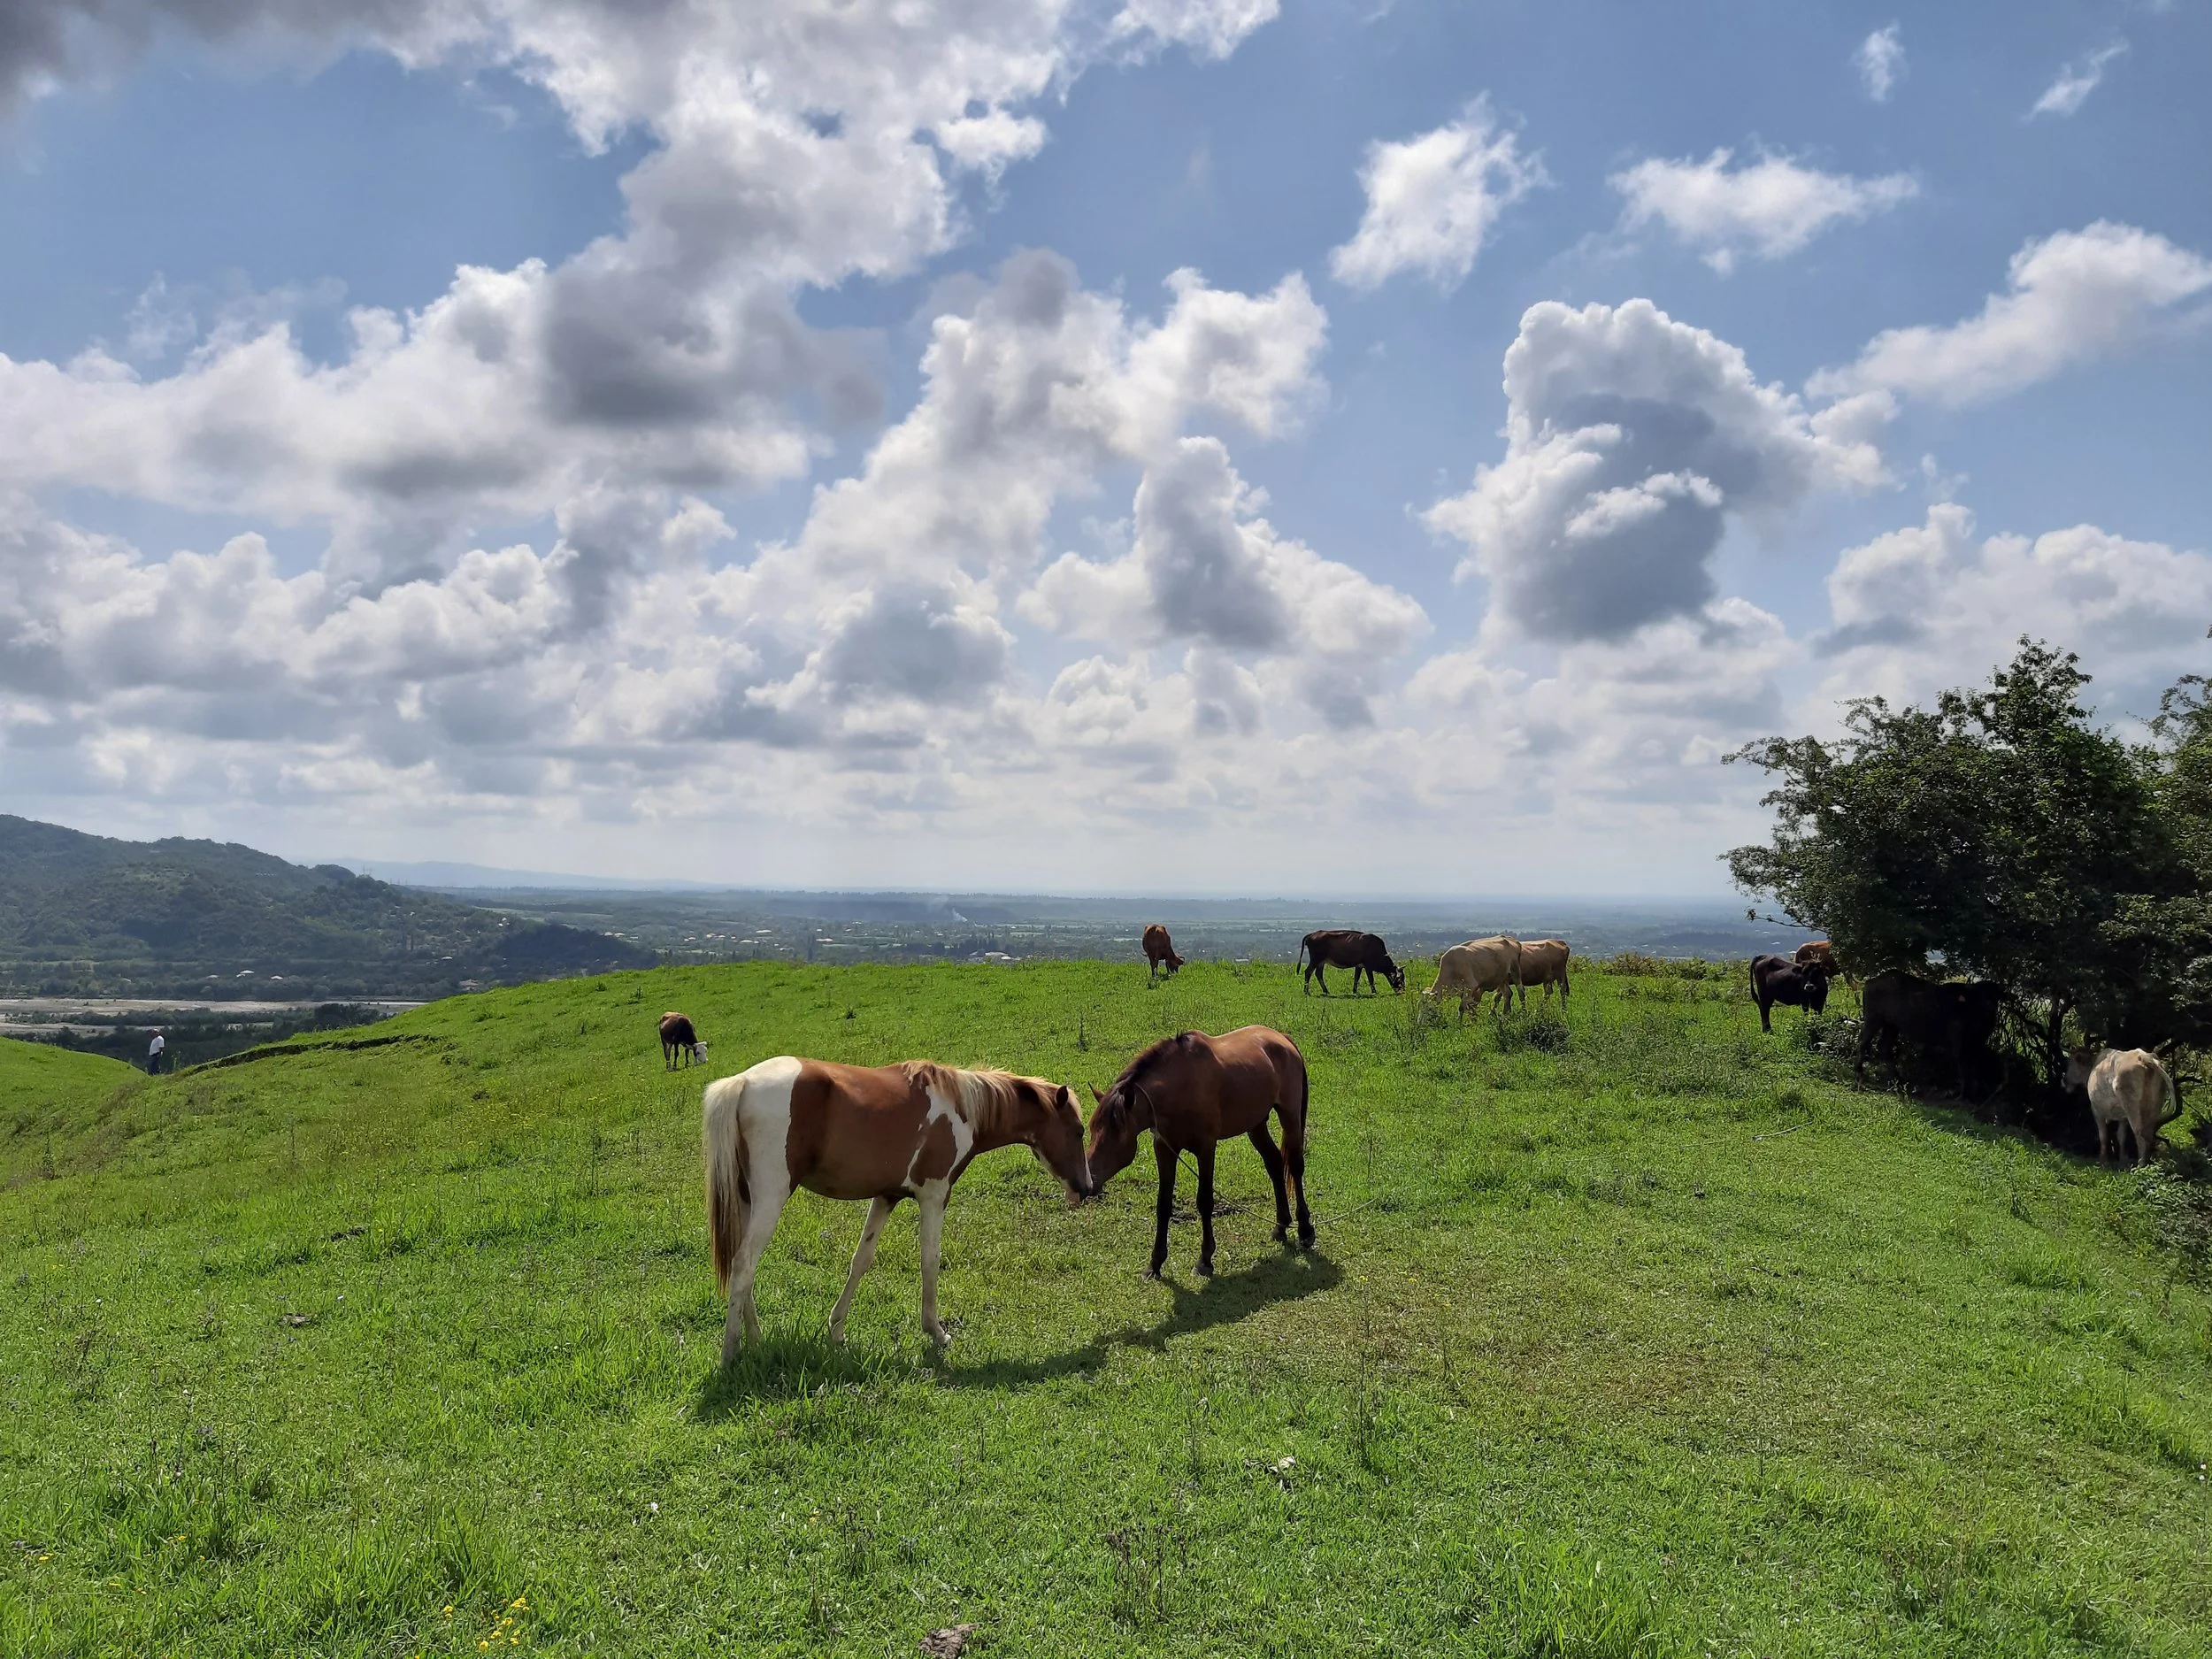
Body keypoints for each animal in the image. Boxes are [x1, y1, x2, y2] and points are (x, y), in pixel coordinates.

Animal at [703, 1057, 1092, 1360]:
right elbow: (930, 1261)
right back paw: (730, 1353)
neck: (961, 1108)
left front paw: (836, 1330)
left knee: (744, 1269)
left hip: (747, 1201)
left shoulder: (886, 1196)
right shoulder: (935, 1195)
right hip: (771, 1198)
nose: (1086, 1188)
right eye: (1078, 1130)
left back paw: (756, 1341)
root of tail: (742, 1083)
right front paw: (936, 1331)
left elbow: (861, 1261)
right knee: (743, 1264)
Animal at [1084, 1026, 1312, 1279]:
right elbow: (1163, 1204)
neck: (1180, 1087)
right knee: (1274, 1163)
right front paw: (1155, 1263)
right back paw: (1280, 1227)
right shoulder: (1164, 1149)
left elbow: (1205, 1201)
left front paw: (1205, 1260)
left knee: (1295, 1166)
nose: (1088, 1183)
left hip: (1290, 1116)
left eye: (1116, 1134)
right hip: (1256, 1125)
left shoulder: (1206, 1149)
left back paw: (1305, 1231)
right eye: (1092, 1129)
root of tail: (1283, 1038)